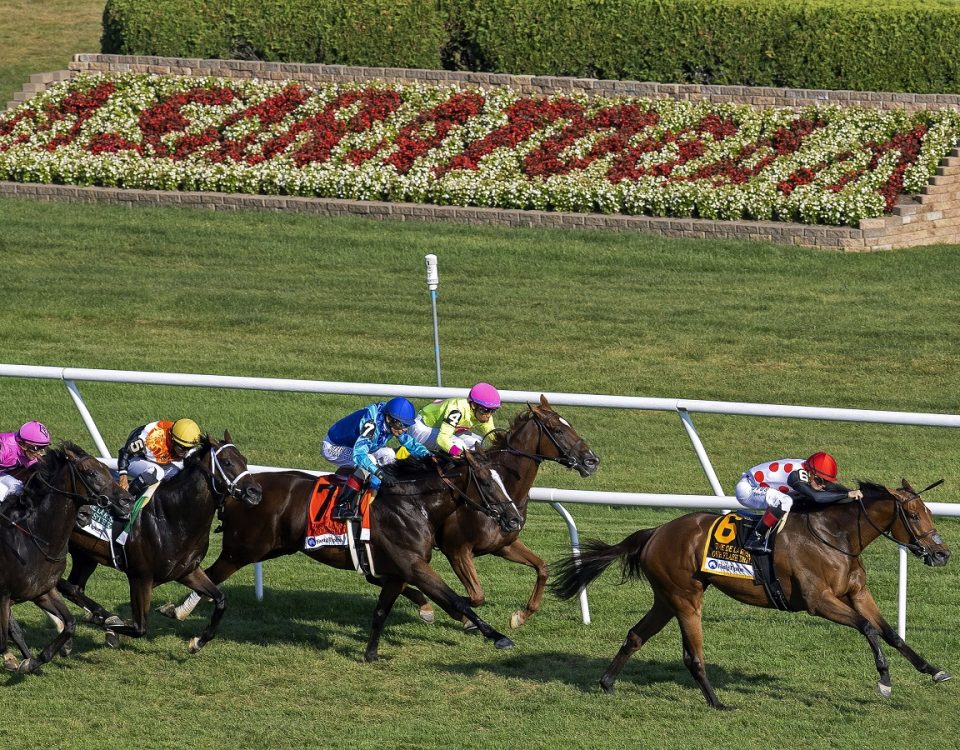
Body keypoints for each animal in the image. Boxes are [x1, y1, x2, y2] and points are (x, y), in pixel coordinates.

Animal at [0, 444, 131, 680]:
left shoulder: (42, 590)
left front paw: (33, 661)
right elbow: (5, 637)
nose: (126, 500)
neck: (34, 538)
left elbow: (71, 623)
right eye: (90, 473)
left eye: (106, 470)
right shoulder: (4, 596)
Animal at [59, 432, 262, 656]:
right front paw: (107, 624)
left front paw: (197, 641)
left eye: (244, 460)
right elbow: (139, 628)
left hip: (85, 556)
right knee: (64, 586)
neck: (172, 516)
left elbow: (220, 600)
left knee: (73, 588)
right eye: (227, 462)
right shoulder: (140, 577)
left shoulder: (187, 571)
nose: (255, 492)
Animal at [166, 450, 524, 660]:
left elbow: (381, 611)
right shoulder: (413, 565)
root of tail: (238, 491)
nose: (515, 519)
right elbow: (457, 600)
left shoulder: (398, 571)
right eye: (487, 484)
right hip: (242, 550)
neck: (413, 504)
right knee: (207, 576)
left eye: (502, 480)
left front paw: (371, 653)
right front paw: (498, 636)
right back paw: (181, 615)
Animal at [436, 396, 596, 632]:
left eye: (571, 426)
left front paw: (520, 616)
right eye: (558, 430)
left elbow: (542, 568)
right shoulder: (456, 550)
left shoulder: (504, 545)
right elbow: (475, 596)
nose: (591, 461)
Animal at [552, 482, 948, 712]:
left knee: (636, 635)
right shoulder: (818, 601)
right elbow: (867, 628)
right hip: (685, 598)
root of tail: (655, 532)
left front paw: (934, 670)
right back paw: (717, 703)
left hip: (665, 599)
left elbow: (891, 633)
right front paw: (884, 680)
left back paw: (607, 683)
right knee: (692, 656)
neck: (833, 535)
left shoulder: (857, 592)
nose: (942, 554)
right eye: (914, 515)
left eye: (929, 511)